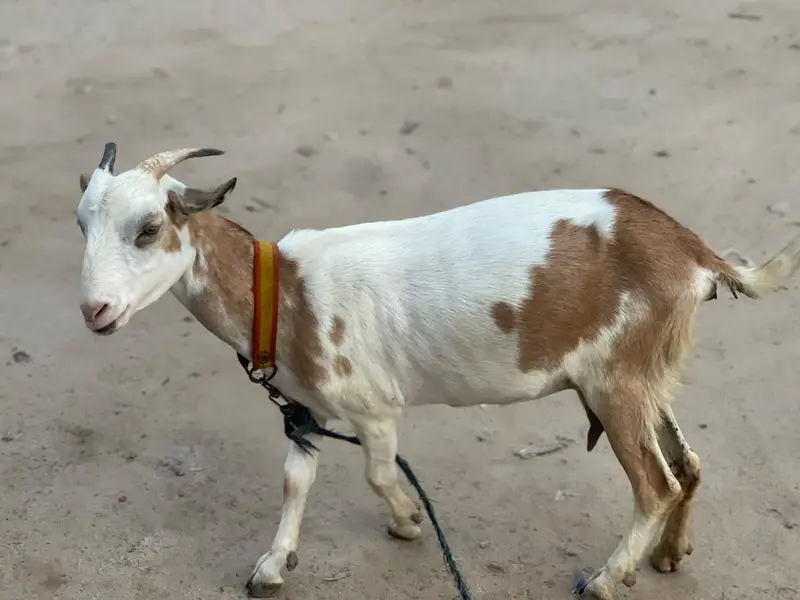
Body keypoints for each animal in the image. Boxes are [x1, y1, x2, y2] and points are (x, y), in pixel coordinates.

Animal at [76, 143, 800, 599]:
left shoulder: (373, 405)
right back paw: (669, 556)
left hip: (615, 383)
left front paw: (406, 520)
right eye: (81, 222)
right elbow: (294, 481)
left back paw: (602, 580)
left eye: (148, 228)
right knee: (688, 464)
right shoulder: (303, 411)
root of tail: (696, 253)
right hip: (642, 374)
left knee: (654, 483)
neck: (285, 293)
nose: (94, 310)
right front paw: (273, 566)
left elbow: (375, 473)